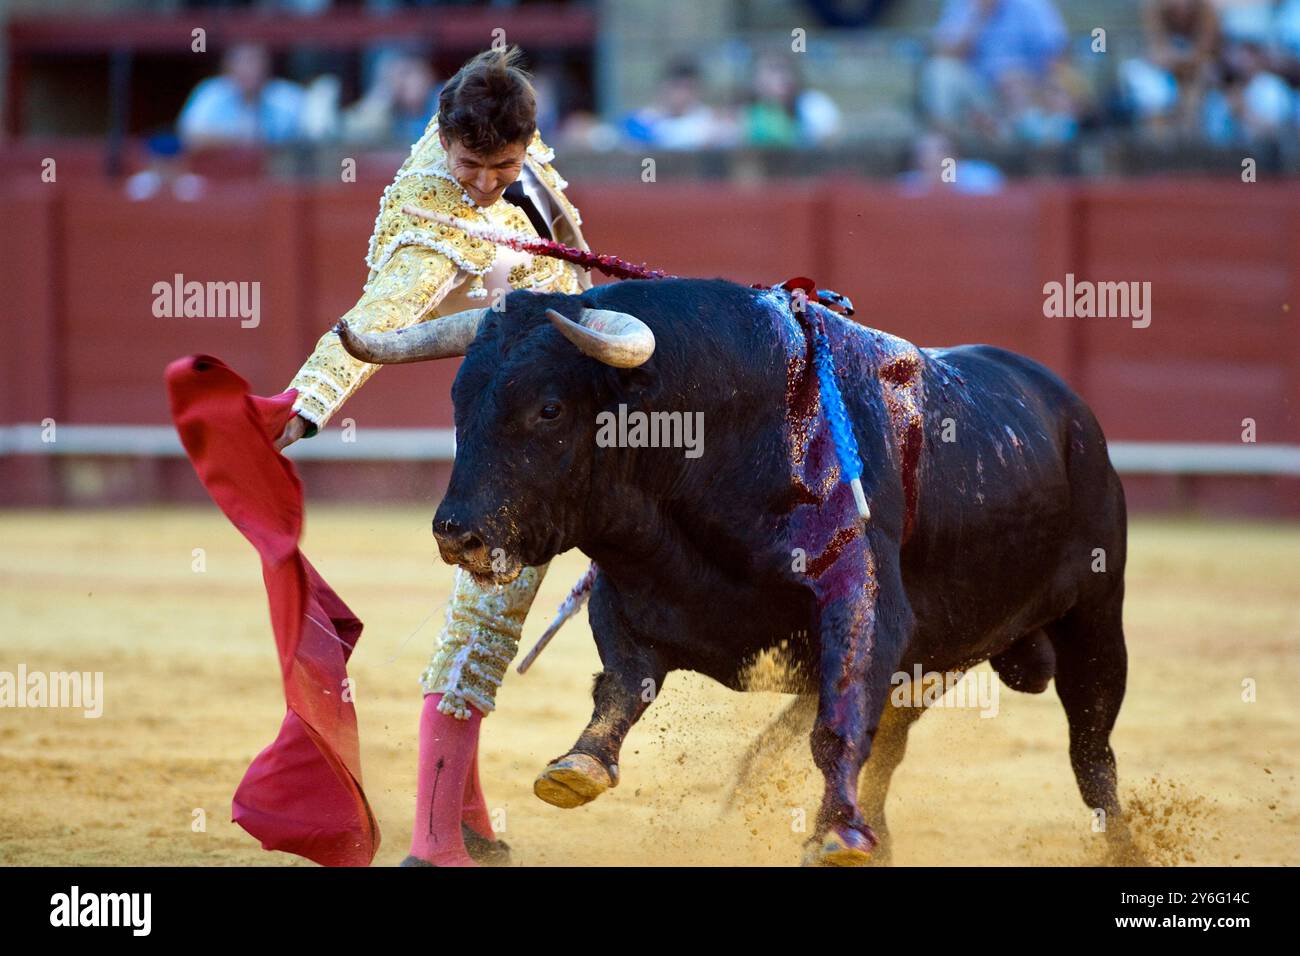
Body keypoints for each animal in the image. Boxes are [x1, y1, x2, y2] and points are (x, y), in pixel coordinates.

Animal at [382, 278, 1128, 868]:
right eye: (458, 401)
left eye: (548, 407)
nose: (458, 533)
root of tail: (1072, 412)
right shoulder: (627, 596)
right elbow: (621, 686)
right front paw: (577, 767)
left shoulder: (861, 603)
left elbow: (839, 721)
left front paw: (838, 835)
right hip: (940, 657)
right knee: (892, 738)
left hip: (1096, 617)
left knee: (1092, 752)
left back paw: (1124, 845)